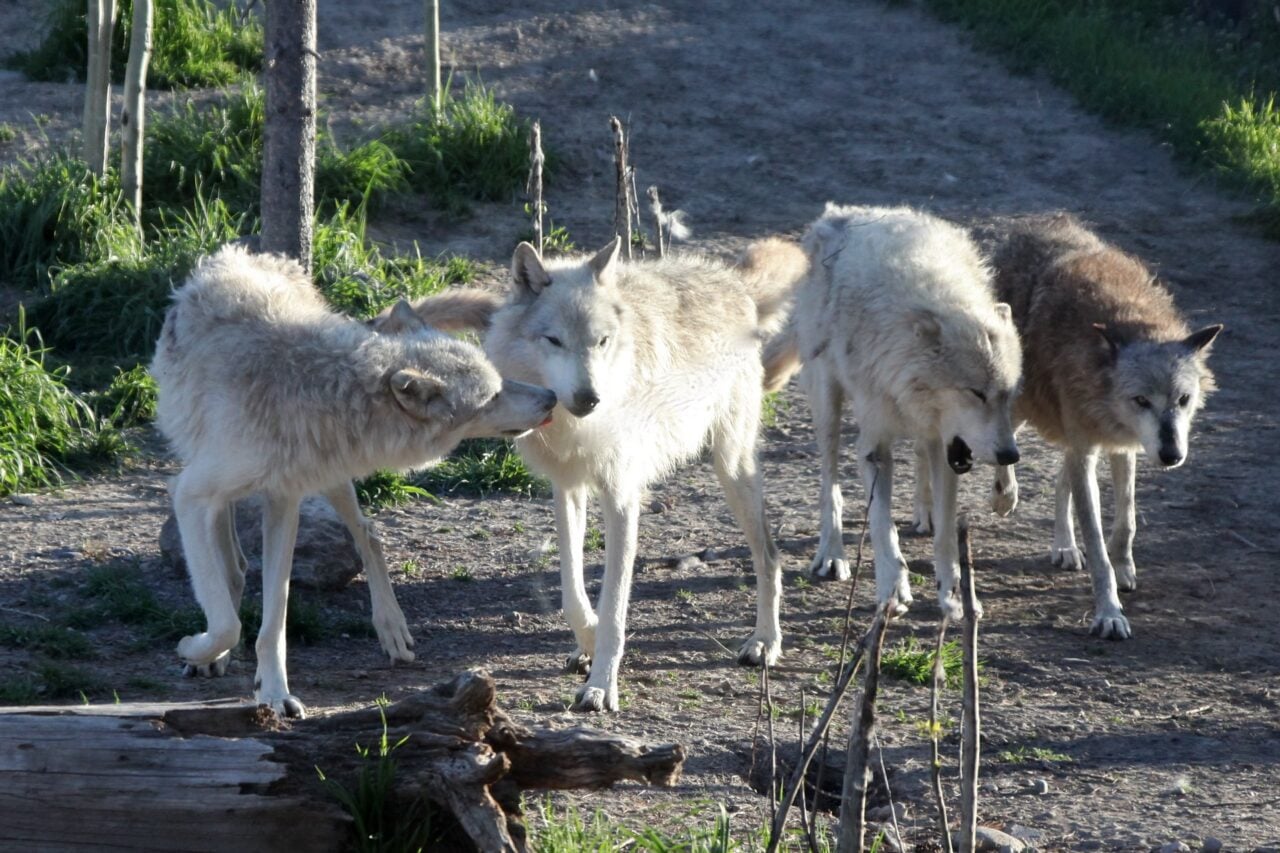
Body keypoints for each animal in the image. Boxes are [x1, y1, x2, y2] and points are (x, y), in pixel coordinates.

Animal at [150, 245, 557, 717]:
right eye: (492, 396)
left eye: (499, 382)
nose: (551, 397)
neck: (318, 385)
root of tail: (248, 253)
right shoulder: (191, 492)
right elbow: (226, 619)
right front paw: (198, 649)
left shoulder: (284, 499)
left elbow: (273, 620)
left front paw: (274, 693)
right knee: (235, 564)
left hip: (330, 480)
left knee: (368, 532)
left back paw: (391, 626)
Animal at [408, 236, 805, 712]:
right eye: (554, 340)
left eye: (602, 341)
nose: (590, 398)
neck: (573, 426)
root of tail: (731, 280)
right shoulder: (567, 488)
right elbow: (571, 592)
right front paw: (588, 641)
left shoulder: (622, 498)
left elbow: (615, 604)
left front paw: (601, 685)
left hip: (731, 467)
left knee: (770, 556)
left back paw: (765, 642)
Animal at [766, 204, 1023, 620]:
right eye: (975, 393)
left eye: (1007, 394)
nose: (1010, 454)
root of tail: (838, 213)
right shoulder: (875, 447)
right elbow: (882, 526)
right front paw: (892, 588)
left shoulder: (949, 446)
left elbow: (947, 537)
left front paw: (953, 596)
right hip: (827, 402)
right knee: (829, 482)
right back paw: (832, 554)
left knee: (921, 458)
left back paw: (929, 513)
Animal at [969, 214, 1221, 639]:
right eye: (1141, 400)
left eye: (1183, 400)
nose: (1172, 455)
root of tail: (1027, 222)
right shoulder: (1091, 446)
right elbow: (1098, 542)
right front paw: (1109, 613)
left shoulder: (1123, 446)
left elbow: (1126, 521)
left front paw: (1123, 570)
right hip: (1015, 405)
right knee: (986, 448)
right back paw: (989, 501)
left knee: (1060, 480)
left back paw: (1064, 548)